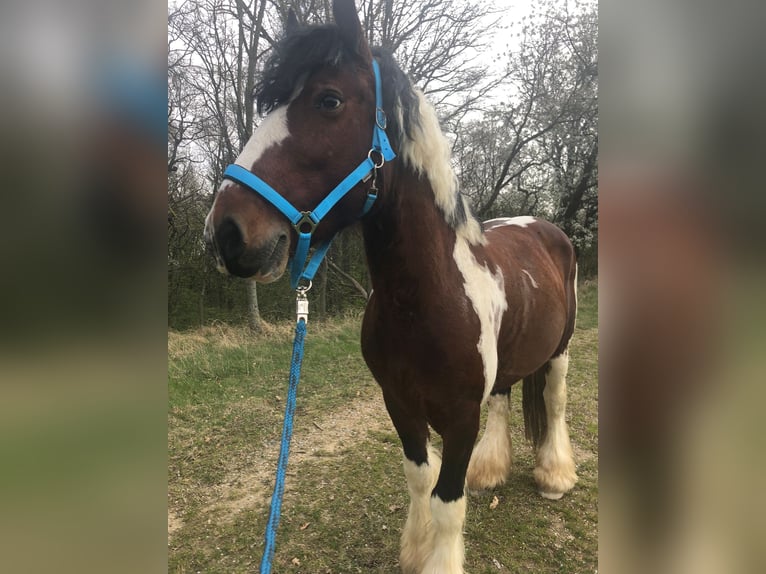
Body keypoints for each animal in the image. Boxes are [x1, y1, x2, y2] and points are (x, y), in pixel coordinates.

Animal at [202, 2, 576, 572]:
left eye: (329, 100)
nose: (225, 233)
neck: (425, 302)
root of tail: (544, 226)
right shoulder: (398, 403)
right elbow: (419, 479)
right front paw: (416, 551)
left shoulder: (460, 416)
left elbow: (447, 500)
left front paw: (438, 557)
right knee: (505, 399)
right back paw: (490, 470)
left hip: (560, 349)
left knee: (553, 402)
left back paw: (554, 476)